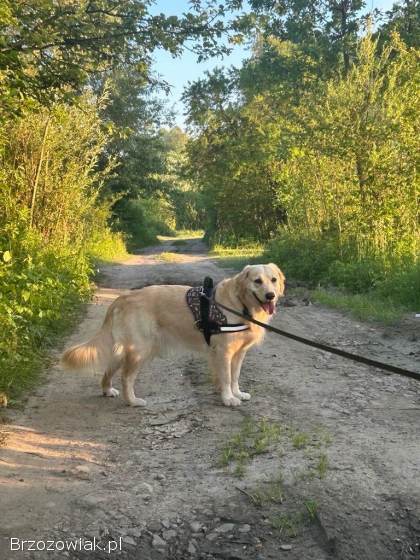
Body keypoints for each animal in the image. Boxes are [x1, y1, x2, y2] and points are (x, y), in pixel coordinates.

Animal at [61, 262, 286, 406]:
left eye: (273, 280)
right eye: (257, 281)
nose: (270, 295)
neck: (240, 304)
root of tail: (123, 297)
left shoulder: (239, 353)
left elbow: (234, 376)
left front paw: (237, 393)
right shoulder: (223, 352)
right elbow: (226, 377)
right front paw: (229, 398)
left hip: (125, 349)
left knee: (109, 370)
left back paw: (107, 390)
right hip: (140, 350)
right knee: (126, 377)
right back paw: (133, 401)